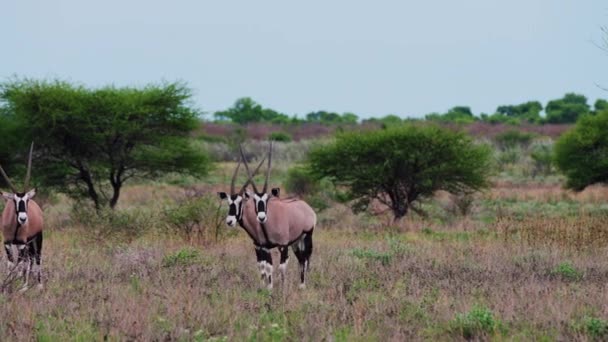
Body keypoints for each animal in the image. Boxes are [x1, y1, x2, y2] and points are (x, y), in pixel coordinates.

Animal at [0, 143, 44, 290]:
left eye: (26, 200)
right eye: (14, 201)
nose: (23, 219)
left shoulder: (21, 243)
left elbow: (21, 264)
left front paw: (22, 286)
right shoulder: (7, 242)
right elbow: (11, 263)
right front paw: (9, 283)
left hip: (37, 238)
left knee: (36, 258)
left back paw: (38, 284)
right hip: (28, 243)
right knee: (29, 259)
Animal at [241, 142, 318, 288]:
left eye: (267, 199)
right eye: (254, 200)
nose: (261, 217)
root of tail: (306, 206)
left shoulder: (283, 245)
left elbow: (281, 267)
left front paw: (282, 288)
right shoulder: (264, 247)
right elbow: (266, 267)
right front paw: (268, 287)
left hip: (306, 236)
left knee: (305, 260)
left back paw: (302, 285)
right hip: (295, 242)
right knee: (301, 259)